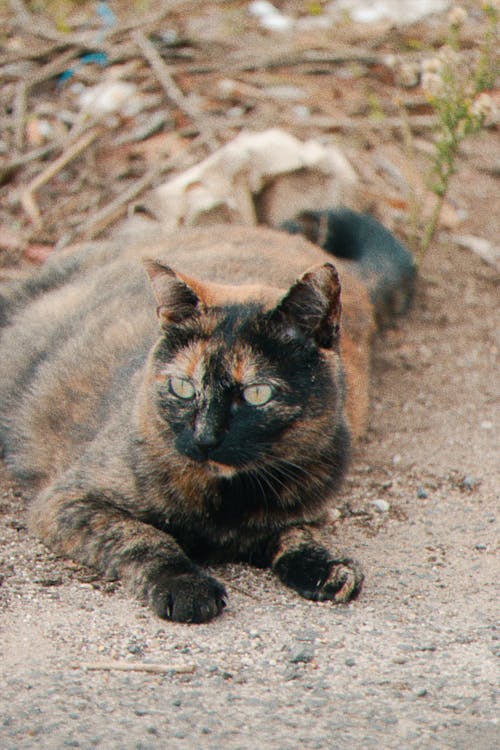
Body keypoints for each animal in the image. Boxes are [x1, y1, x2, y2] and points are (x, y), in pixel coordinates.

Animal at [0, 210, 414, 624]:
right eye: (183, 387)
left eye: (256, 394)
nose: (205, 438)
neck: (227, 500)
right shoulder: (69, 501)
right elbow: (143, 537)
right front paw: (185, 585)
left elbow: (295, 533)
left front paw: (324, 564)